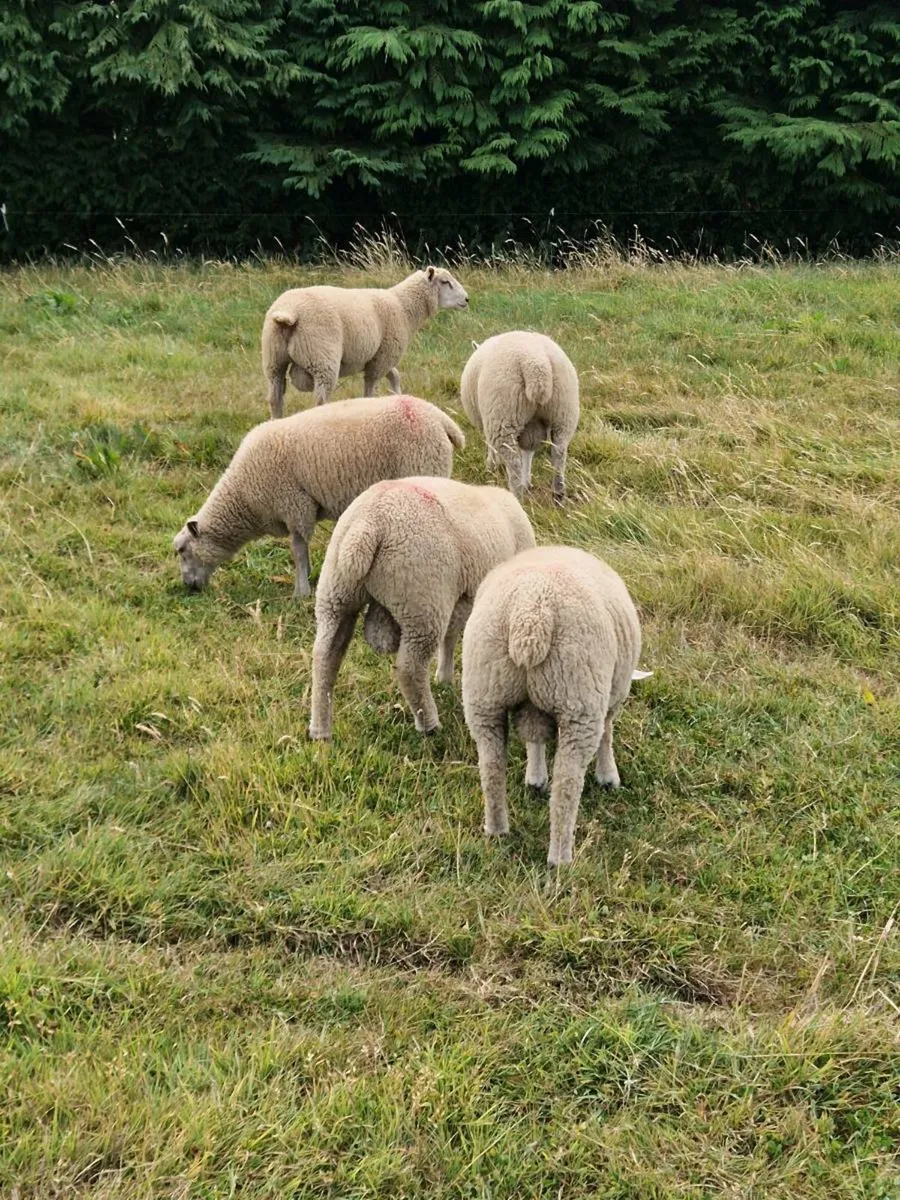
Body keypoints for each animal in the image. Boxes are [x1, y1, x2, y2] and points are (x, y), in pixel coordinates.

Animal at [172, 394, 465, 598]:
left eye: (182, 550)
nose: (188, 587)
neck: (243, 497)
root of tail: (442, 420)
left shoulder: (294, 505)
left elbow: (298, 550)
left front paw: (300, 591)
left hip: (424, 467)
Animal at [261, 266, 469, 417]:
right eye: (445, 282)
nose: (467, 299)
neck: (403, 307)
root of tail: (289, 312)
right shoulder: (382, 358)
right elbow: (371, 391)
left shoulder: (379, 357)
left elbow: (395, 375)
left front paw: (398, 395)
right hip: (322, 359)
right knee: (319, 400)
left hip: (274, 360)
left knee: (275, 399)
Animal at [308, 477, 536, 740]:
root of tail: (367, 526)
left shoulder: (460, 598)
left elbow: (451, 636)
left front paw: (444, 677)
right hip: (422, 600)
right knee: (409, 669)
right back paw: (429, 724)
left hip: (336, 594)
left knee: (325, 657)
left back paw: (320, 730)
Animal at [460, 330, 580, 503]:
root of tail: (537, 364)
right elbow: (528, 452)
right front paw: (527, 482)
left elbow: (491, 446)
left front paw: (491, 466)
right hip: (564, 412)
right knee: (559, 453)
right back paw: (558, 494)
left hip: (503, 416)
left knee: (513, 462)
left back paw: (516, 494)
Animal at [461, 546, 651, 866]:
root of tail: (531, 615)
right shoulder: (610, 694)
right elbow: (608, 732)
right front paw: (608, 777)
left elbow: (534, 741)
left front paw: (535, 777)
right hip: (579, 699)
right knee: (567, 785)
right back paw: (561, 857)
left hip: (484, 693)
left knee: (491, 767)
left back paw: (497, 830)